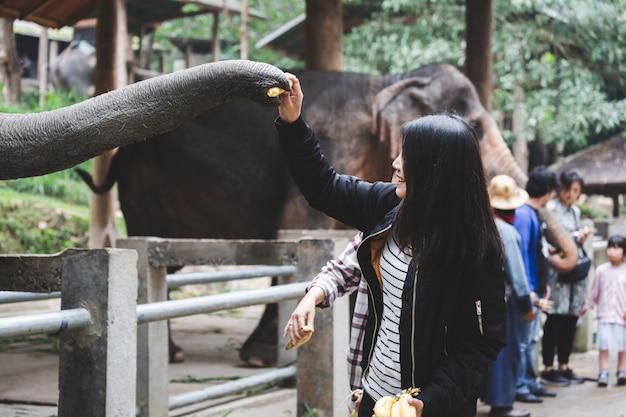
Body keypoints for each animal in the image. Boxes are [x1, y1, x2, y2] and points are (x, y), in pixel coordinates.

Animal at [77, 61, 576, 368]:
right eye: (473, 125)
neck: (385, 82)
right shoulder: (339, 139)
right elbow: (300, 226)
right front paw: (265, 357)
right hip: (146, 190)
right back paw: (174, 355)